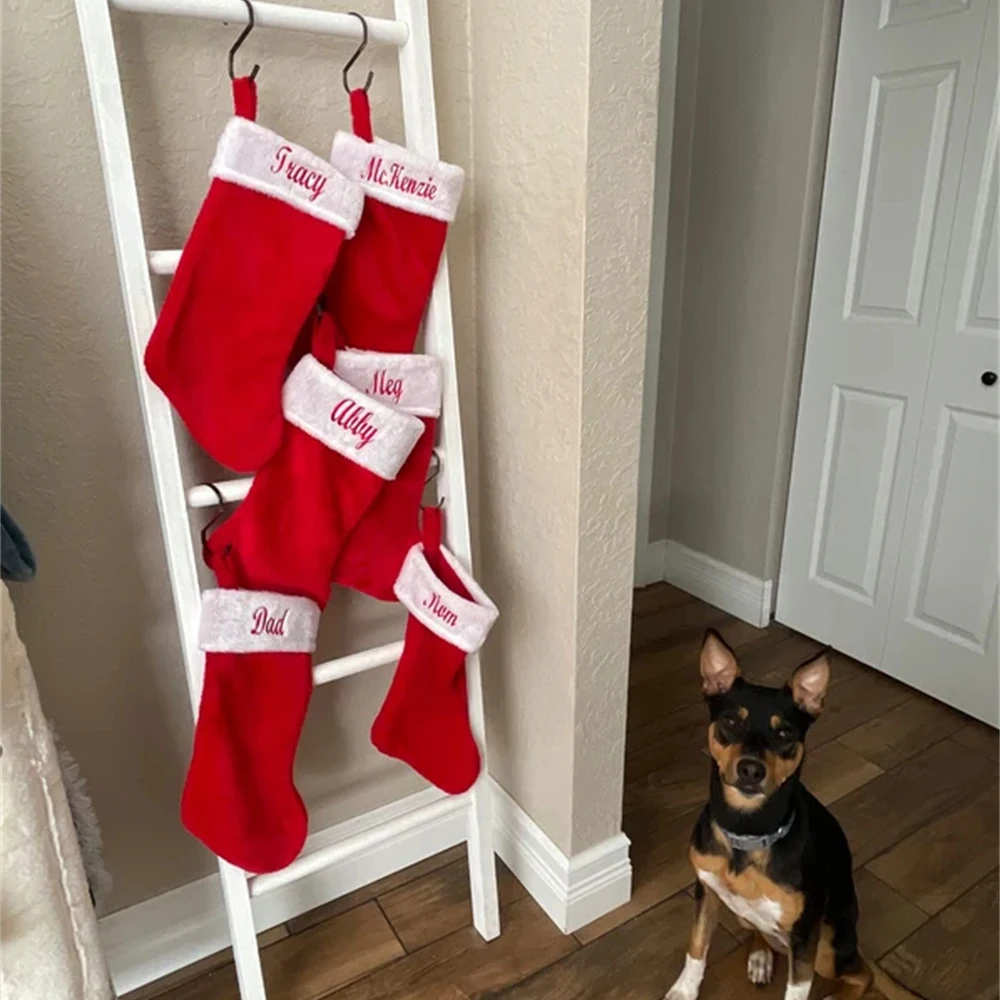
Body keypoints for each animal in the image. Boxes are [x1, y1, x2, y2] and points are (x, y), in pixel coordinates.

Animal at [664, 632, 920, 1000]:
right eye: (730, 722)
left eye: (784, 734)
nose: (751, 770)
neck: (748, 831)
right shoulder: (707, 892)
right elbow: (697, 947)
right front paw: (684, 991)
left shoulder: (804, 936)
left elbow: (798, 990)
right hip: (745, 916)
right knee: (759, 932)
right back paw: (760, 957)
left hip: (827, 947)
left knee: (865, 974)